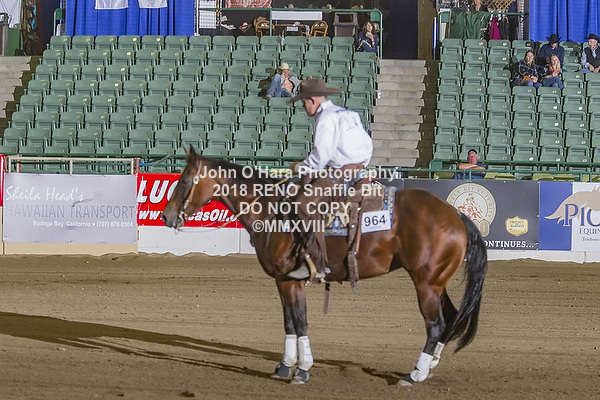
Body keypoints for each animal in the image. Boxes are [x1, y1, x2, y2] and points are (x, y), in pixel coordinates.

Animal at [161, 147, 487, 386]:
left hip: (425, 284)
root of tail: (457, 215)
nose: (166, 216)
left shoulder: (291, 279)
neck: (272, 210)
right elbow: (289, 323)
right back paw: (430, 366)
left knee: (436, 325)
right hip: (436, 282)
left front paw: (303, 369)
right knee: (450, 316)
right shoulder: (283, 280)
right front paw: (284, 366)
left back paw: (415, 374)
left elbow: (301, 321)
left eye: (185, 181)